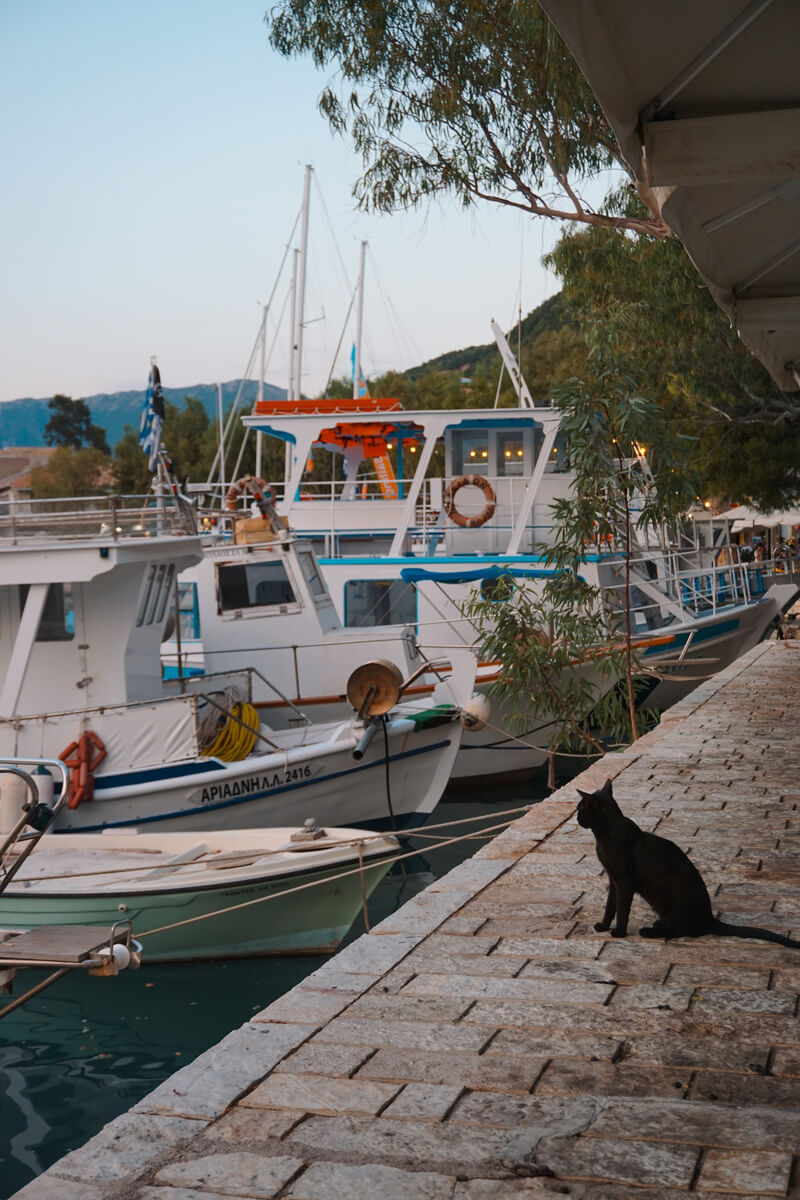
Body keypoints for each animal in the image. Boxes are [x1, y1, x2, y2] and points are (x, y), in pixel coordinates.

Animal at [575, 777, 800, 945]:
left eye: (580, 809)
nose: (576, 819)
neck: (605, 834)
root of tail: (708, 917)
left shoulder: (624, 880)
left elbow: (622, 909)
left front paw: (619, 932)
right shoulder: (613, 879)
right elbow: (609, 906)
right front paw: (603, 926)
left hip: (668, 891)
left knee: (682, 931)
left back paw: (649, 931)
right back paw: (657, 925)